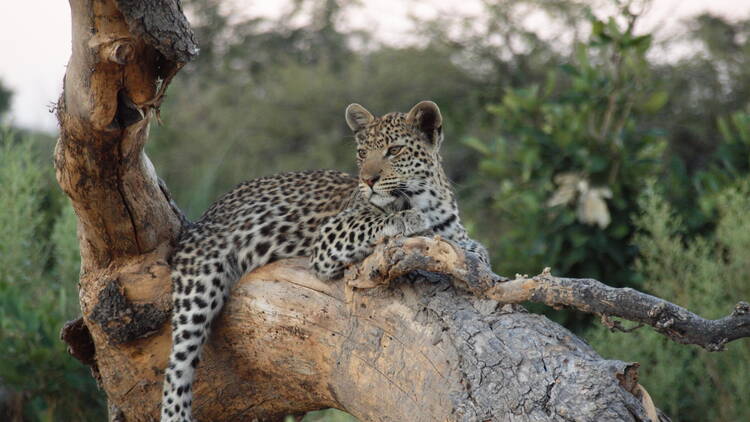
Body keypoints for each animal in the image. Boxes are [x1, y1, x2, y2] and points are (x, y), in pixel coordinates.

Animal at [161, 100, 490, 420]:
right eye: (362, 153)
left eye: (394, 150)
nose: (368, 180)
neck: (426, 200)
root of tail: (204, 215)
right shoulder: (329, 236)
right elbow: (374, 221)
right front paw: (408, 218)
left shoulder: (456, 234)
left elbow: (475, 250)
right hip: (200, 284)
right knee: (177, 366)